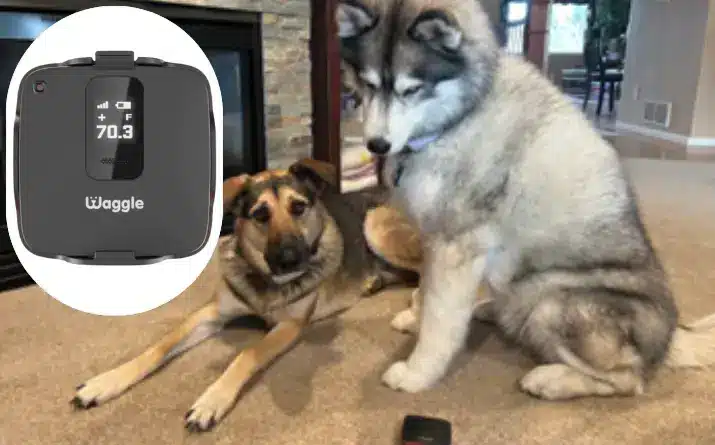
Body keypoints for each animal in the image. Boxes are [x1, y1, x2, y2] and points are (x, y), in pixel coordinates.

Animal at [70, 159, 422, 430]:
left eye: (299, 207)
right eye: (260, 215)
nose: (290, 258)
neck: (263, 278)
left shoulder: (289, 327)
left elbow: (247, 353)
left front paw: (212, 399)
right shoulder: (211, 314)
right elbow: (160, 346)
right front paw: (107, 381)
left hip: (376, 225)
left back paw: (415, 308)